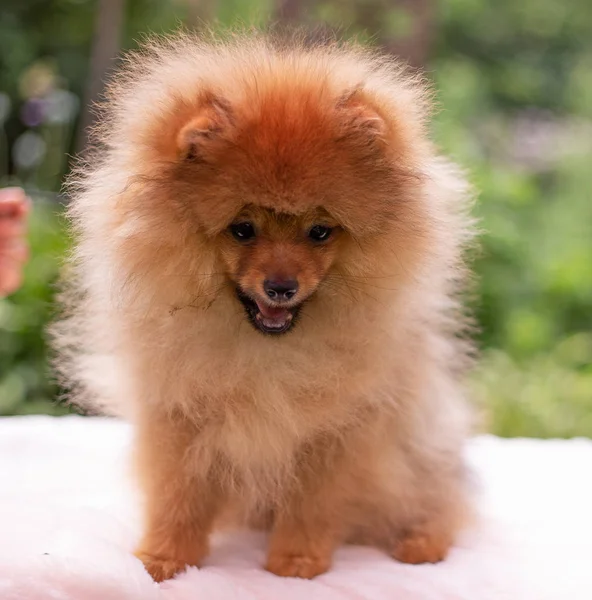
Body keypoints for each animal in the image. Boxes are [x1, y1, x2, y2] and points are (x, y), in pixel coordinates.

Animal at [53, 31, 476, 580]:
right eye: (242, 229)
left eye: (319, 232)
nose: (280, 286)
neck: (266, 356)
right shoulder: (178, 416)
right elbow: (177, 496)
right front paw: (164, 559)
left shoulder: (339, 432)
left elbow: (313, 504)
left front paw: (295, 563)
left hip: (420, 452)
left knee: (440, 504)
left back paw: (420, 545)